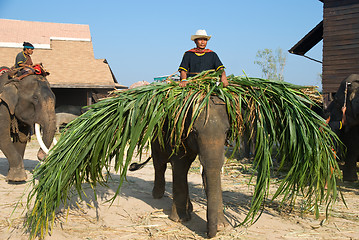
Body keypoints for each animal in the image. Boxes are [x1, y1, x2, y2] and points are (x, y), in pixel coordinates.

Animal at [132, 95, 231, 238]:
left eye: (227, 131)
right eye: (194, 131)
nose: (208, 233)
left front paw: (223, 226)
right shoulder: (177, 136)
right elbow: (180, 166)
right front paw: (180, 219)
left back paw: (189, 208)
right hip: (156, 139)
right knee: (160, 164)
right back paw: (157, 195)